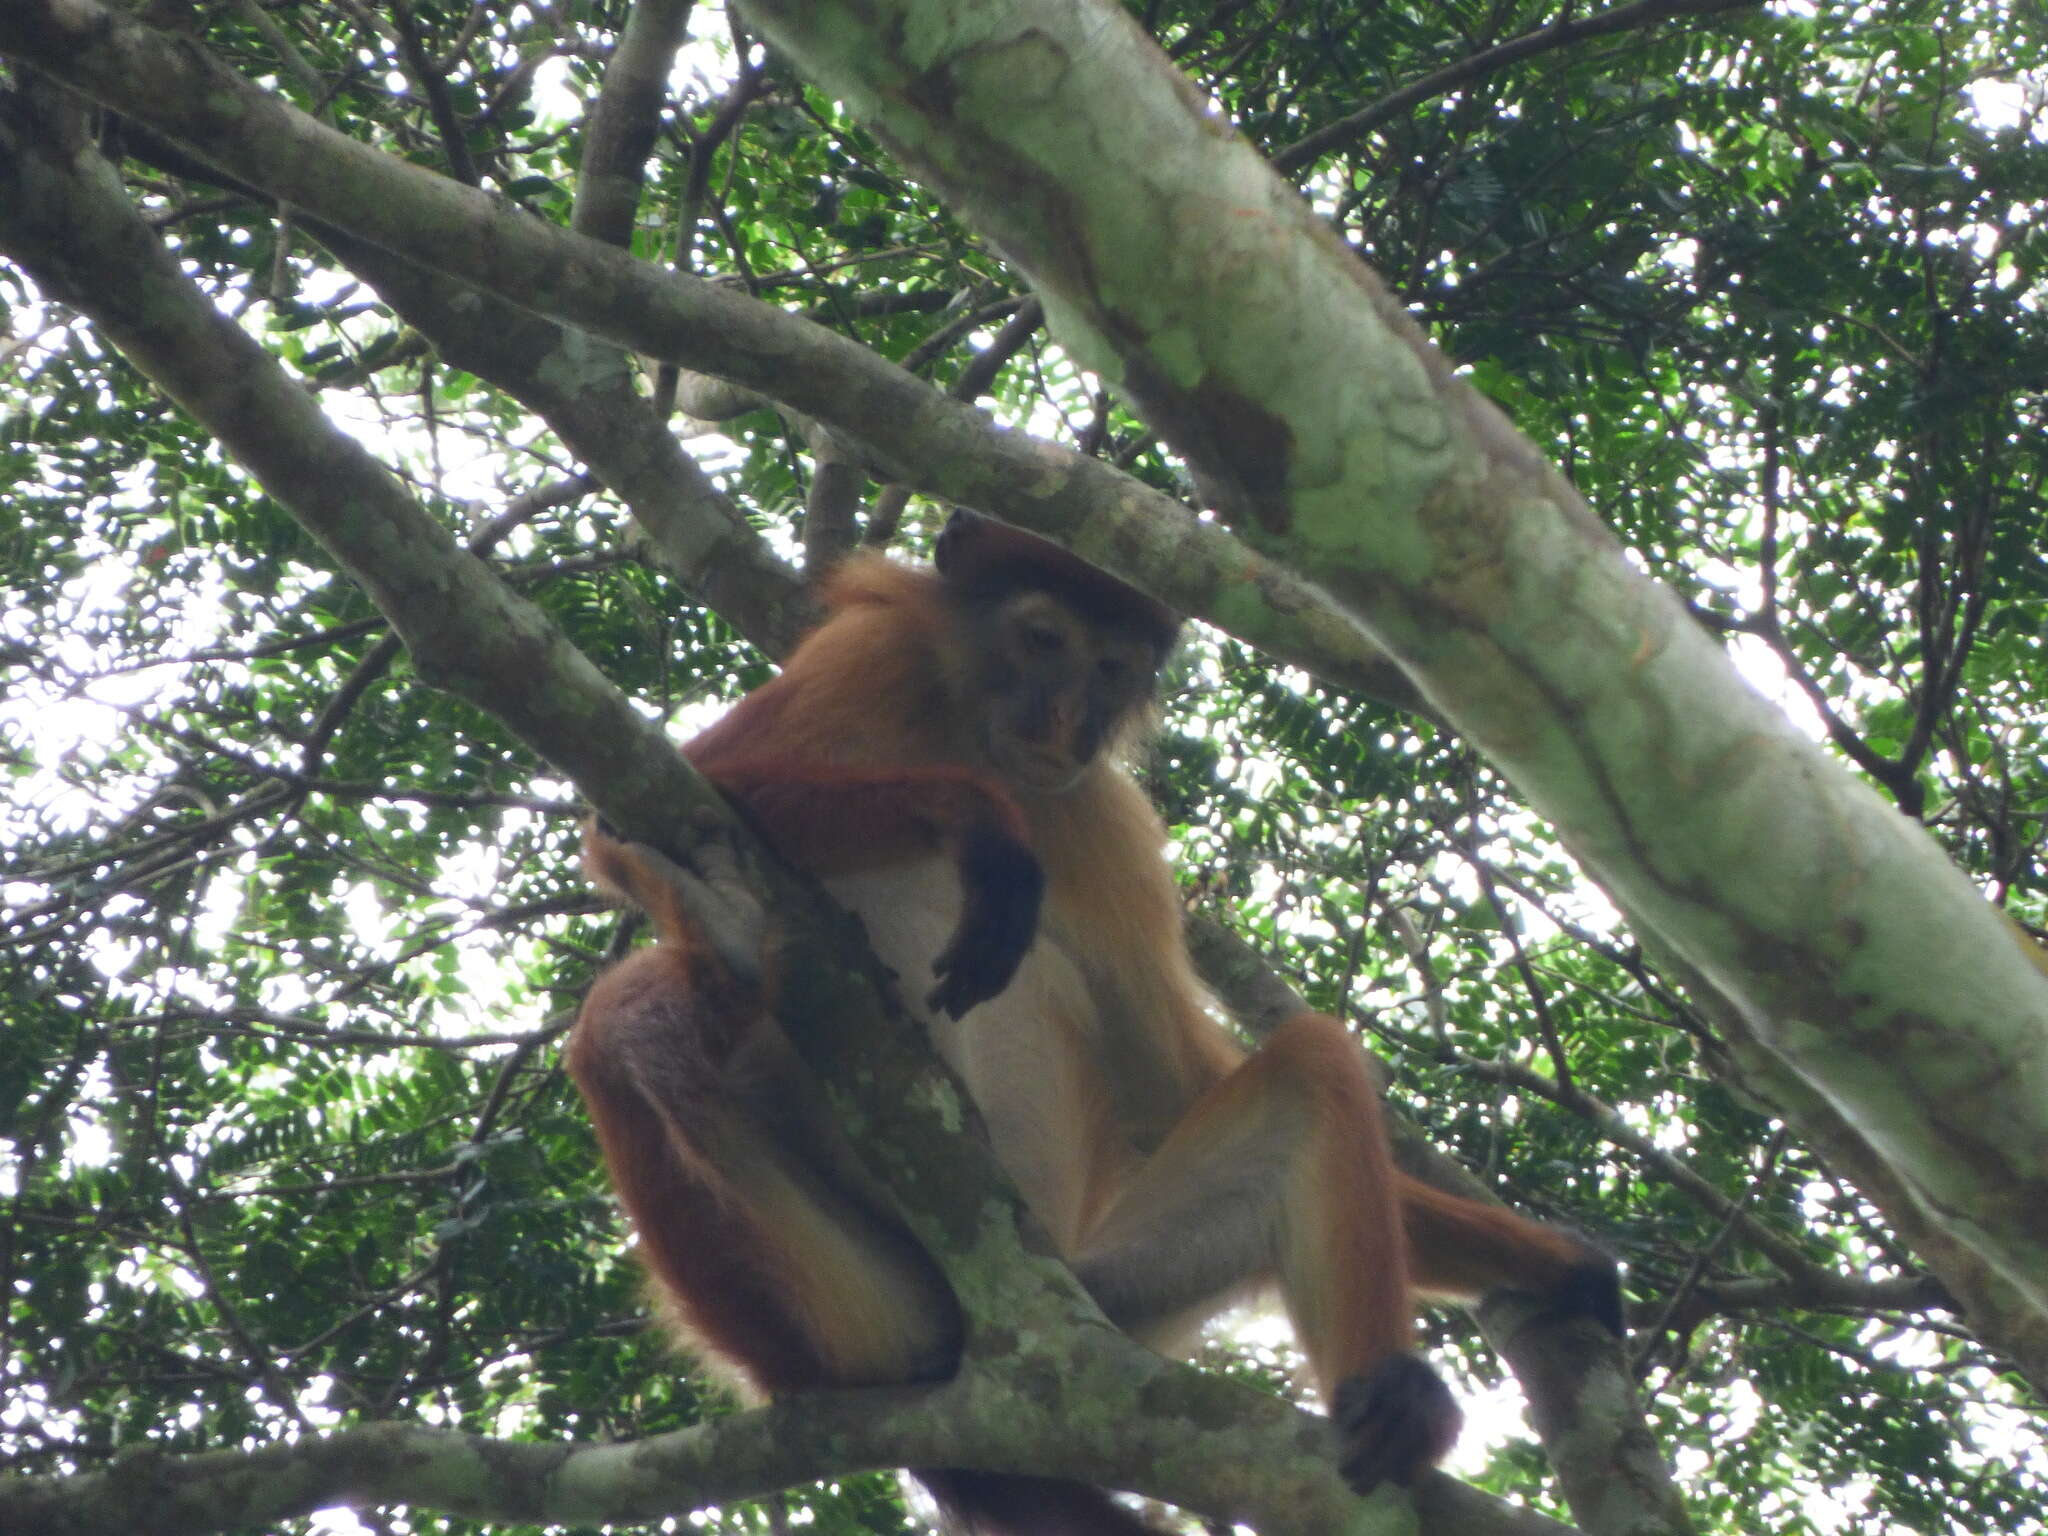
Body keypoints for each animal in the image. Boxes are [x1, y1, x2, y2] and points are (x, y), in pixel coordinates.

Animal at [569, 518, 1622, 1536]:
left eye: (1112, 670)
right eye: (1043, 640)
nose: (1068, 720)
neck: (975, 735)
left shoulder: (1101, 814)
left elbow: (1173, 1087)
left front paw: (1554, 1262)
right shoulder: (871, 658)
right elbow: (643, 819)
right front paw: (975, 822)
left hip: (1106, 1289)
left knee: (1311, 1068)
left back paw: (1391, 1402)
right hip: (860, 1301)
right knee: (627, 1023)